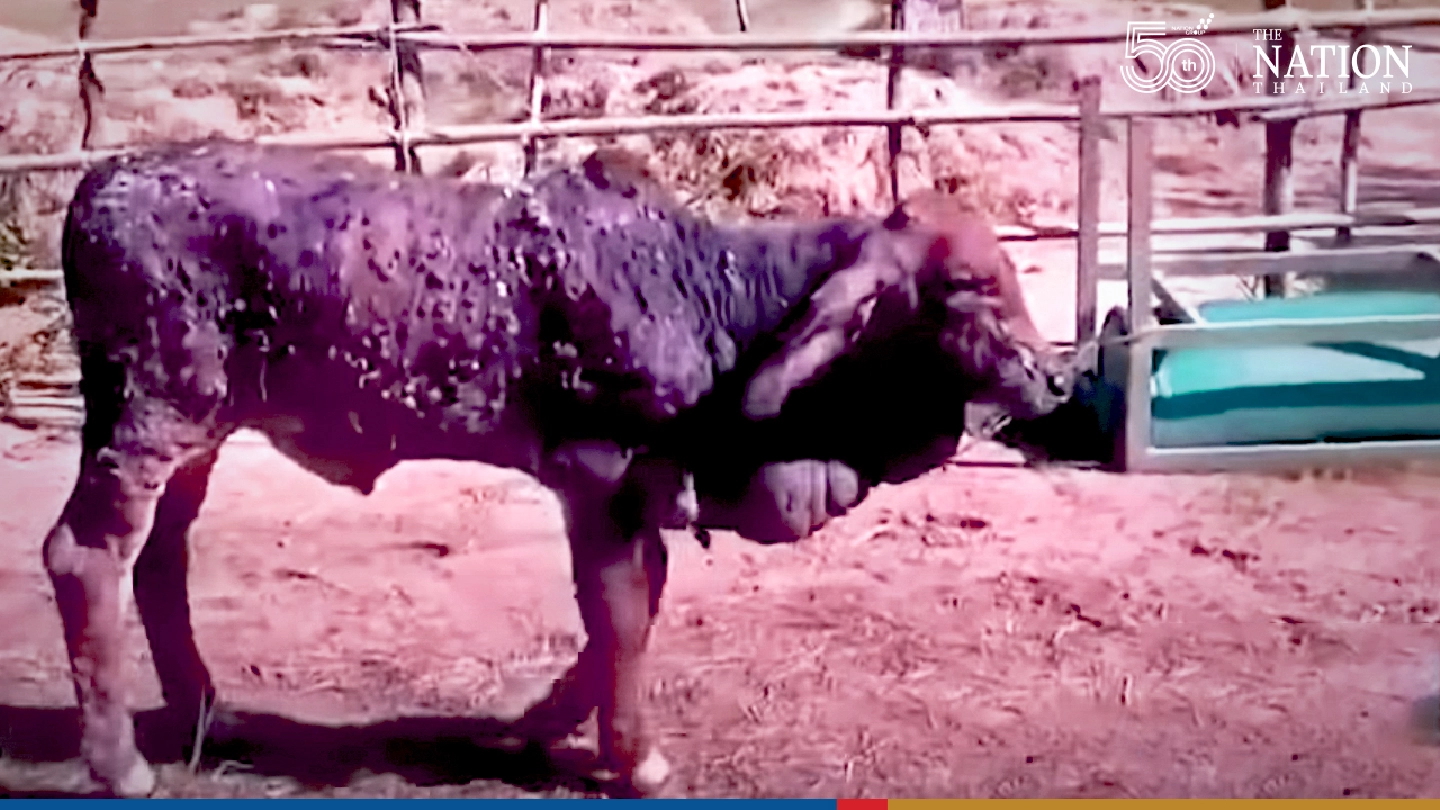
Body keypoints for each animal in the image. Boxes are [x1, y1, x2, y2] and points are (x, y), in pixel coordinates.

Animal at [42, 140, 1076, 797]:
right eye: (968, 287)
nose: (1055, 374)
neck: (713, 298)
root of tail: (100, 181)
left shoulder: (640, 487)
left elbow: (636, 606)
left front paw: (534, 729)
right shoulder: (598, 472)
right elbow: (619, 615)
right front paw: (635, 762)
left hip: (199, 427)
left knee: (160, 558)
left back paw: (209, 718)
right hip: (155, 410)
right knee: (84, 557)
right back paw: (120, 765)